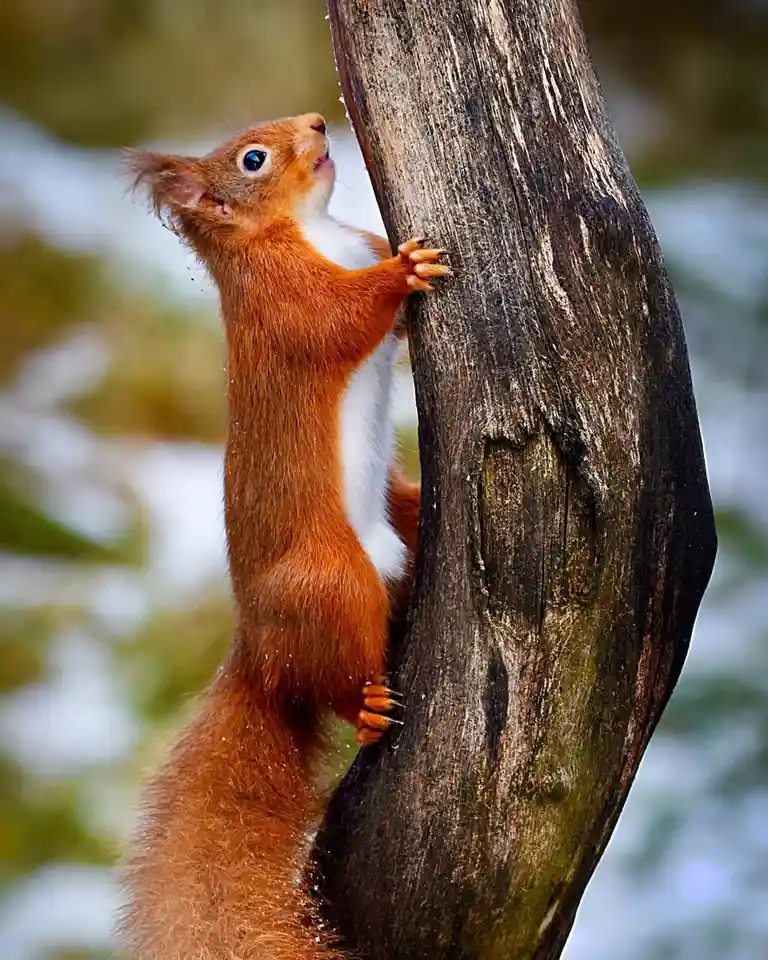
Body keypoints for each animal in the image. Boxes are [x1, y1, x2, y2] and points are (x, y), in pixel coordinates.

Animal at [121, 112, 449, 959]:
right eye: (252, 159)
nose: (318, 121)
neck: (313, 230)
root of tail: (261, 657)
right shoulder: (282, 302)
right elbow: (336, 320)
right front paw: (406, 269)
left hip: (399, 520)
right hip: (330, 582)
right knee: (332, 681)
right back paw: (366, 709)